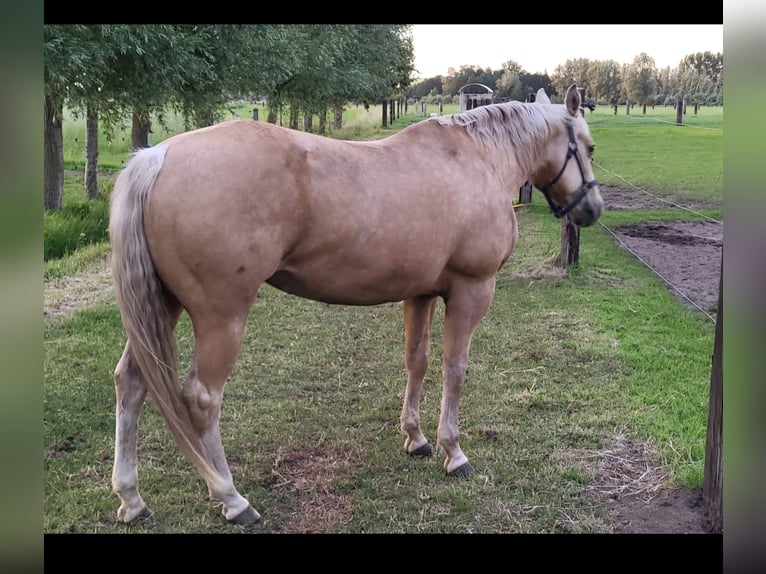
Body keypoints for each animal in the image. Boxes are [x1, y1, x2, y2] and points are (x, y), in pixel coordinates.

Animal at [108, 84, 603, 525]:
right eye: (589, 147)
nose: (593, 209)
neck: (477, 160)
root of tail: (157, 158)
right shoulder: (471, 291)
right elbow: (454, 369)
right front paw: (453, 451)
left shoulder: (420, 293)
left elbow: (417, 361)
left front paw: (416, 438)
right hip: (221, 318)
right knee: (203, 400)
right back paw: (231, 498)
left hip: (163, 307)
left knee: (131, 384)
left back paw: (132, 499)